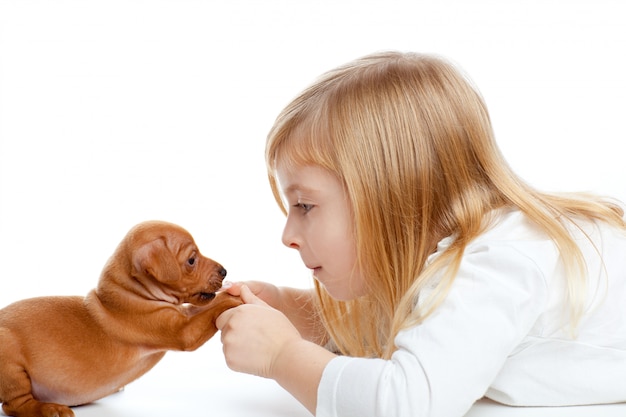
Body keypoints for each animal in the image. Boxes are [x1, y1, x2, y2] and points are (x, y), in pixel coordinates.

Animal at [0, 219, 241, 414]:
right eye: (192, 260)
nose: (225, 271)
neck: (133, 293)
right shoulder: (182, 331)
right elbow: (212, 309)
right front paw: (234, 298)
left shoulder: (183, 314)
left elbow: (203, 308)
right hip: (10, 358)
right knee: (14, 404)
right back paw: (50, 409)